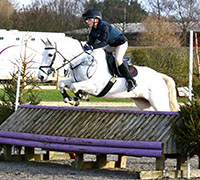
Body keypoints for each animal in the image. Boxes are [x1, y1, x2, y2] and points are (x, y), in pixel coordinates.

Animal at [38, 37, 180, 111]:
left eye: (50, 55)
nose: (41, 76)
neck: (84, 60)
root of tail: (159, 76)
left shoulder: (95, 87)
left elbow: (74, 87)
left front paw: (81, 96)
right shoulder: (75, 80)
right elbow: (63, 84)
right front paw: (72, 100)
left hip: (158, 102)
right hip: (143, 103)